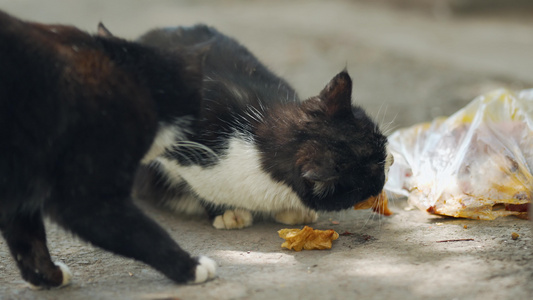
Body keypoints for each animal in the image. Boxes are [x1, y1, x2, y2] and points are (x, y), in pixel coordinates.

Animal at [1, 11, 216, 288]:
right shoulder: (86, 195)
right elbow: (142, 232)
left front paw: (48, 276)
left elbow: (28, 241)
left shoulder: (21, 186)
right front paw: (190, 267)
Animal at [132, 25, 390, 230]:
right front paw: (227, 212)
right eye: (370, 176)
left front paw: (293, 211)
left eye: (382, 143)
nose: (387, 169)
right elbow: (198, 187)